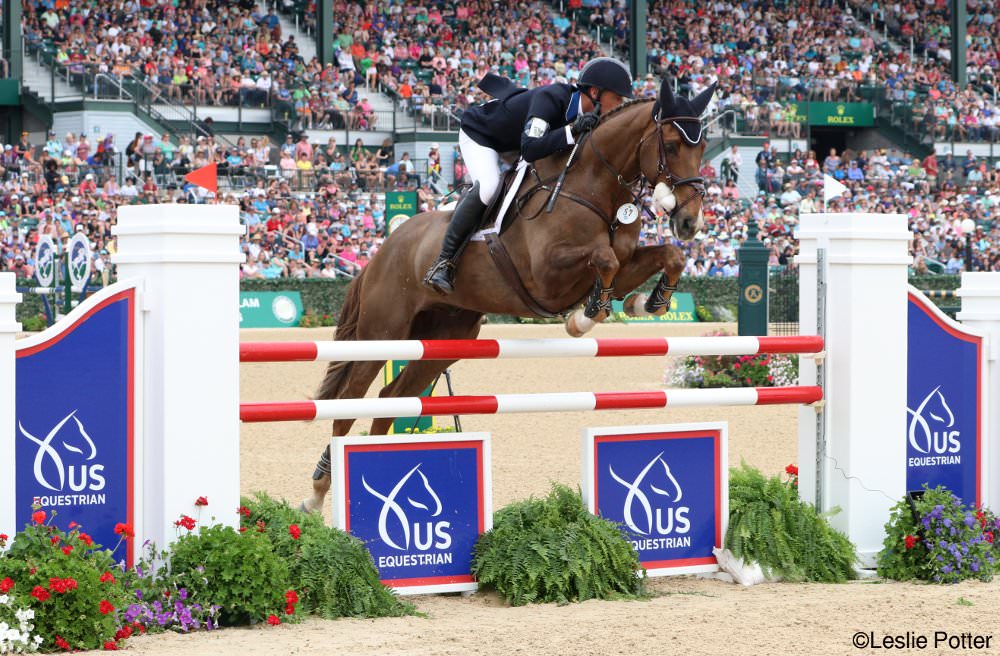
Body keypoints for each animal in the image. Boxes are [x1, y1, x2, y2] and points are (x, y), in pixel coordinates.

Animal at [300, 79, 716, 512]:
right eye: (672, 145)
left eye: (703, 146)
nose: (690, 222)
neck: (592, 185)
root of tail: (384, 248)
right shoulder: (546, 276)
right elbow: (603, 259)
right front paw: (583, 318)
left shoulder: (620, 263)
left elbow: (665, 257)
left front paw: (647, 303)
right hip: (383, 331)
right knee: (352, 398)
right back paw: (318, 491)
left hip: (442, 341)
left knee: (391, 397)